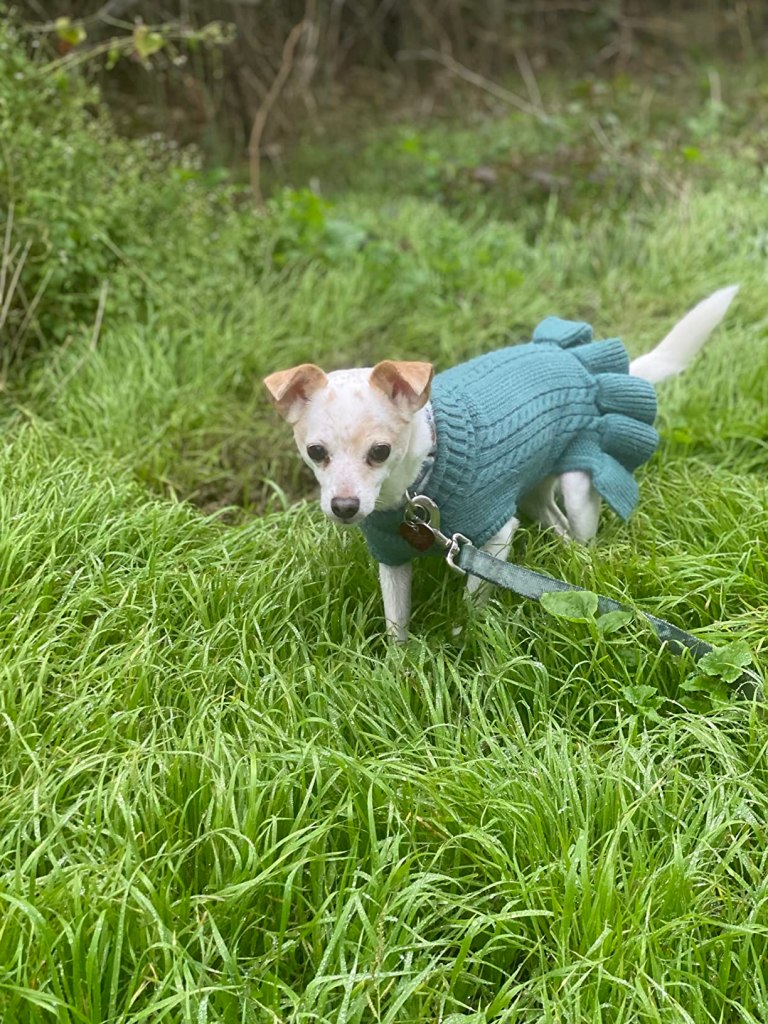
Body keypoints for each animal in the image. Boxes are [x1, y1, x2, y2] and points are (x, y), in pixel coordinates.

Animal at [264, 286, 741, 638]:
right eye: (316, 453)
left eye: (379, 452)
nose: (344, 507)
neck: (420, 478)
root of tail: (578, 364)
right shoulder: (392, 558)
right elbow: (396, 619)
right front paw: (397, 670)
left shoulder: (492, 538)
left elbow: (474, 599)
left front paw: (469, 637)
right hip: (531, 492)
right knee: (557, 525)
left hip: (577, 481)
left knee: (580, 529)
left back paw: (587, 571)